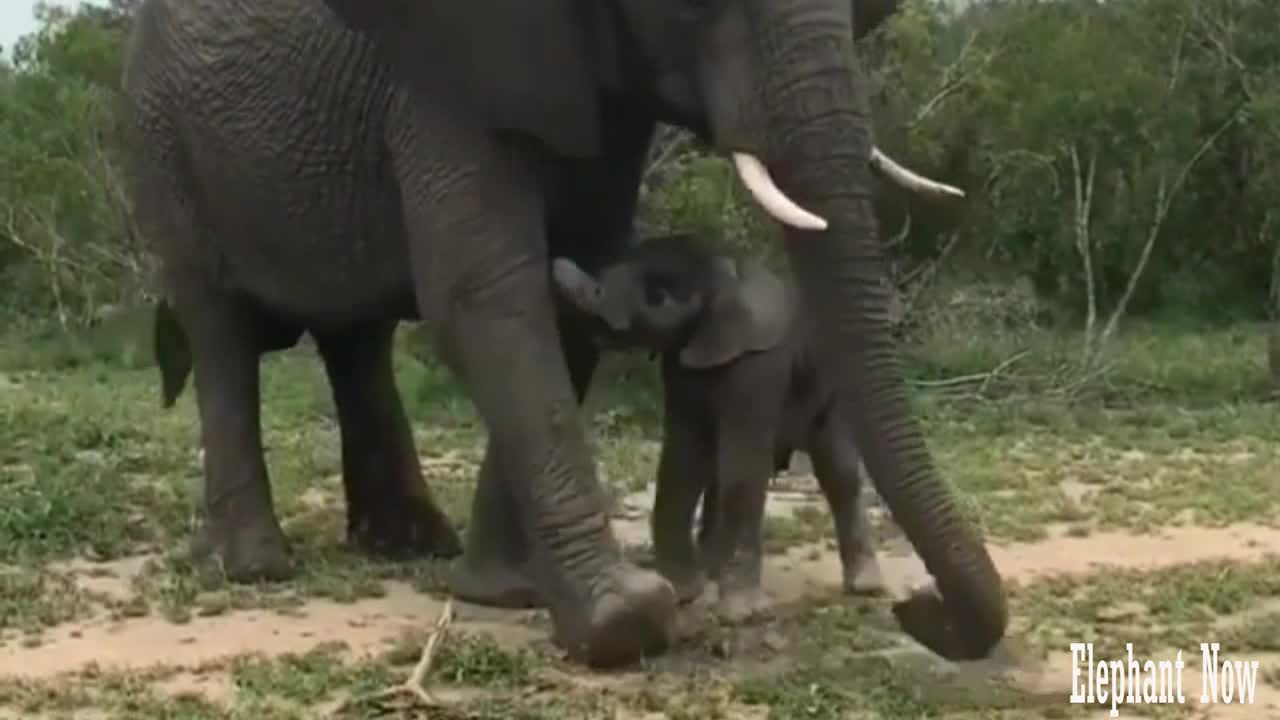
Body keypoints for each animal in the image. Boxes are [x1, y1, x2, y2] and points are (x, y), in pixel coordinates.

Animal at [550, 233, 890, 614]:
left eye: (657, 295)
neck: (725, 270)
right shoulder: (682, 365)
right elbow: (684, 458)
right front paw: (683, 594)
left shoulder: (758, 363)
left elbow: (743, 466)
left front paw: (739, 612)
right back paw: (712, 573)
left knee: (838, 471)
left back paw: (866, 587)